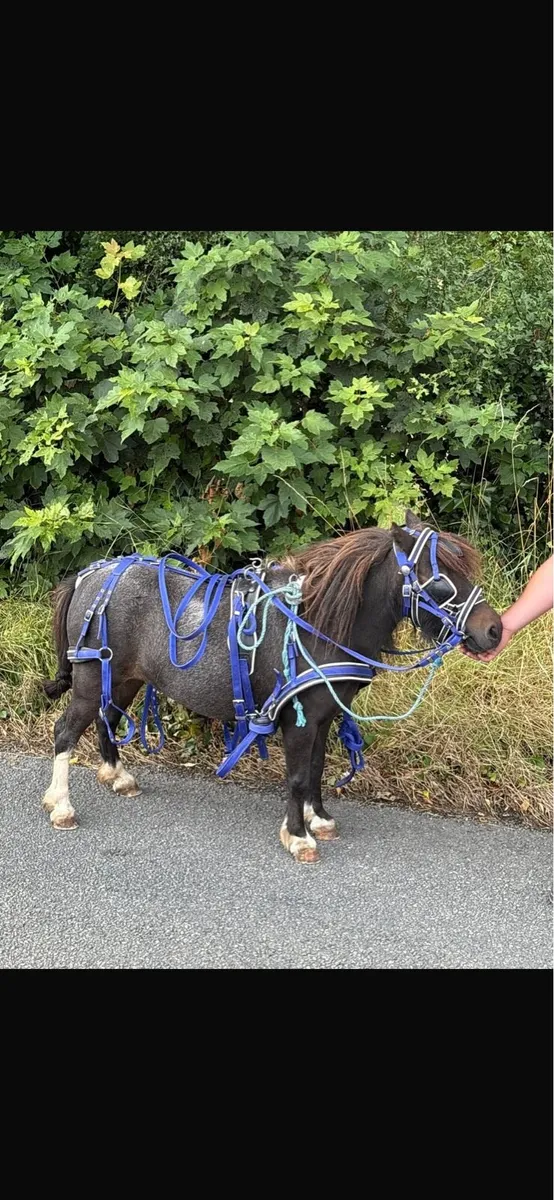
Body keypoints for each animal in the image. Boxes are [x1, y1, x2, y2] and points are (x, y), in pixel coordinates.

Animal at [41, 511, 502, 863]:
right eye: (440, 580)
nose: (494, 630)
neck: (316, 623)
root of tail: (89, 577)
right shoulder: (299, 718)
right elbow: (296, 776)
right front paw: (298, 836)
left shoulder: (323, 715)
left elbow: (316, 768)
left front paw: (319, 818)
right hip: (91, 678)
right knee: (66, 731)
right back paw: (61, 805)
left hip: (124, 679)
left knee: (105, 719)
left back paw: (118, 776)